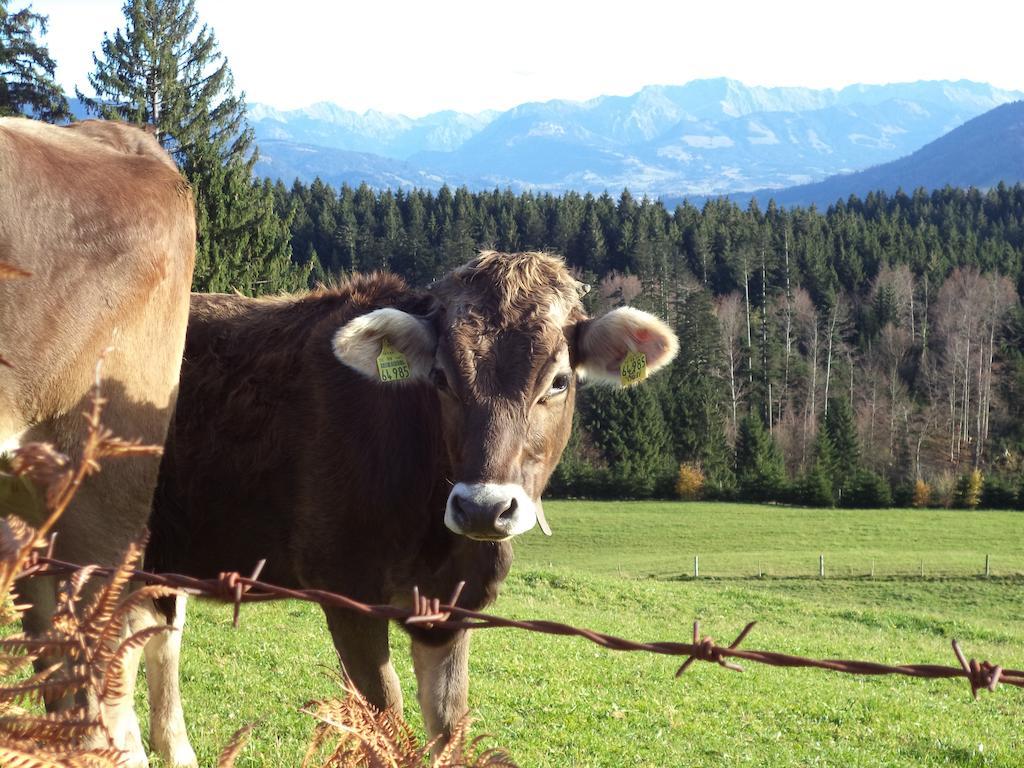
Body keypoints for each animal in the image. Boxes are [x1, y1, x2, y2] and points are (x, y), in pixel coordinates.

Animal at [144, 249, 675, 753]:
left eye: (559, 381)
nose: (483, 507)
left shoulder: (454, 605)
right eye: (440, 377)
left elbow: (449, 724)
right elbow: (386, 720)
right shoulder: (345, 584)